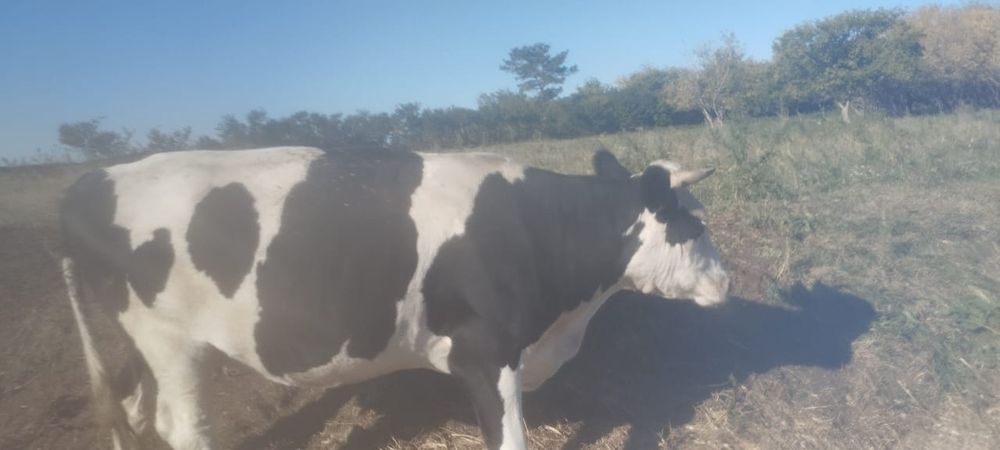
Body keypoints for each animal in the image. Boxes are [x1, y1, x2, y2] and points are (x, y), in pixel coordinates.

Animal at [59, 146, 729, 450]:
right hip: (170, 342)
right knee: (182, 425)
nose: (727, 282)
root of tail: (96, 177)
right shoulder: (488, 352)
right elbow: (509, 439)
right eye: (694, 226)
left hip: (141, 342)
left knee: (137, 408)